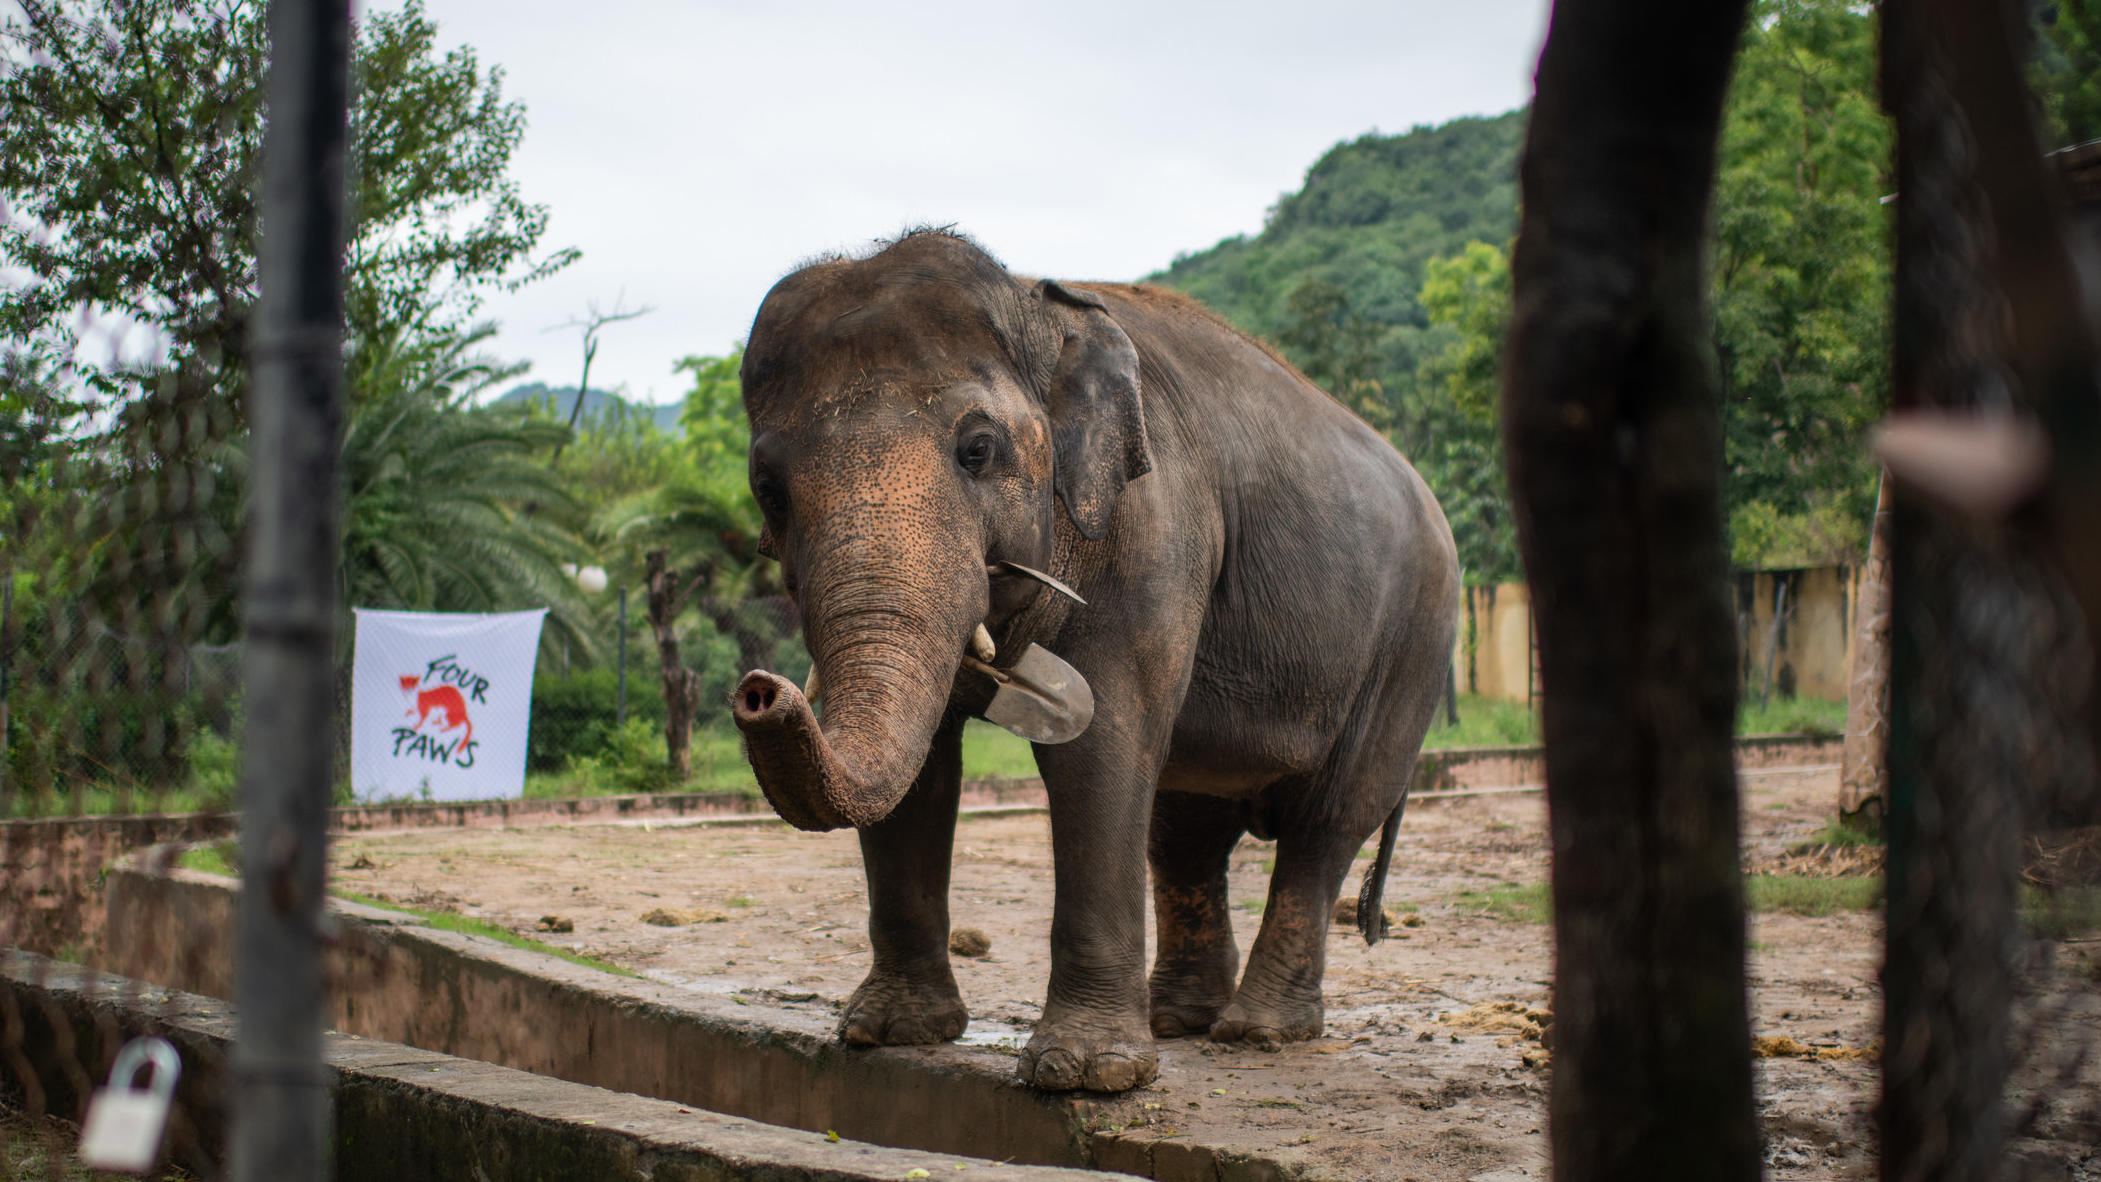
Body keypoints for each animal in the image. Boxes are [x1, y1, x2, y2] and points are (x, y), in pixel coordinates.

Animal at [731, 226, 1453, 1100]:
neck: (1037, 303)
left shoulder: (1154, 529)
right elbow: (923, 770)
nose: (759, 690)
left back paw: (1257, 1033)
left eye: (978, 450)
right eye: (768, 489)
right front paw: (888, 1034)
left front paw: (1084, 1076)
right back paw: (1182, 1020)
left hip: (1410, 645)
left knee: (1326, 822)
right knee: (1185, 826)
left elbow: (1099, 745)